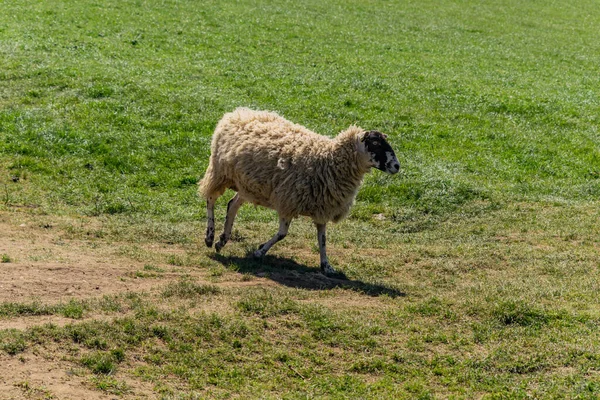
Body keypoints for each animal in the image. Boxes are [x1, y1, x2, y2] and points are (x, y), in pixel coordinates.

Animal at [199, 107, 400, 276]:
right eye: (375, 143)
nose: (397, 166)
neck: (328, 160)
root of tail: (238, 112)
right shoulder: (288, 202)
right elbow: (282, 234)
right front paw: (259, 251)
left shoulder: (322, 208)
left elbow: (322, 239)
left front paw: (326, 266)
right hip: (220, 172)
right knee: (210, 198)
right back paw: (210, 236)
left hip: (247, 185)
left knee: (232, 205)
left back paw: (222, 240)